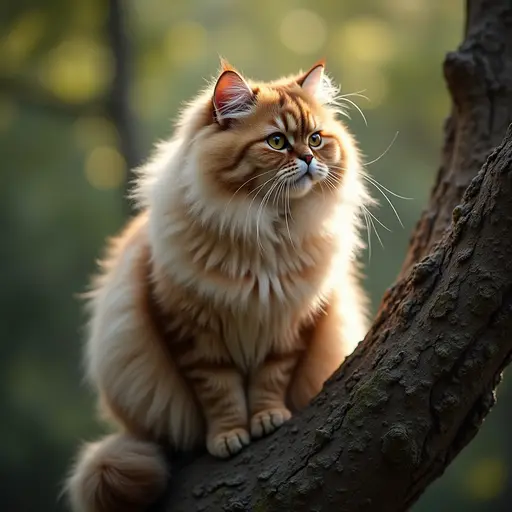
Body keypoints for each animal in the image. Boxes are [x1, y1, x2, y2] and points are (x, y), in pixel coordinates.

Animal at [68, 61, 370, 512]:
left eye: (317, 138)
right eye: (277, 141)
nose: (309, 158)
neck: (266, 232)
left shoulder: (290, 326)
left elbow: (270, 379)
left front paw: (267, 418)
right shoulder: (193, 334)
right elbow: (219, 393)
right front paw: (229, 436)